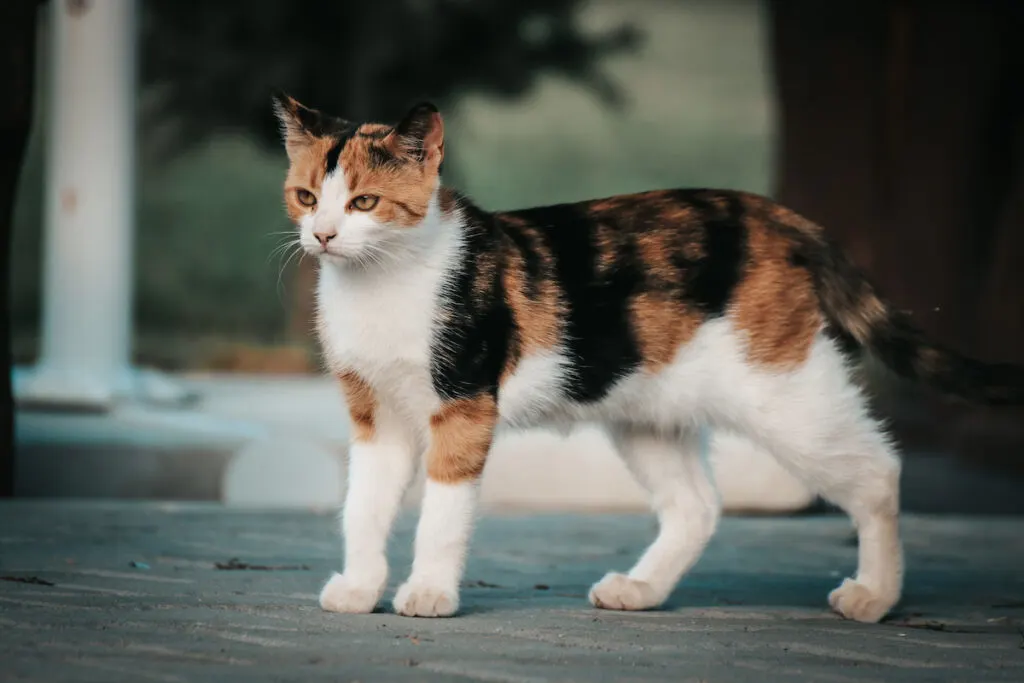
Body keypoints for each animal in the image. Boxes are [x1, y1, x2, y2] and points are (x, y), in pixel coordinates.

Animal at [272, 93, 1024, 622]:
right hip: (648, 412)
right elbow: (363, 506)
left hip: (785, 395)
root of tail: (780, 217)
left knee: (878, 472)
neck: (382, 282)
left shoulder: (462, 404)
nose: (324, 235)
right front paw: (360, 587)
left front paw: (428, 592)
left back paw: (874, 594)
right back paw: (640, 588)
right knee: (698, 505)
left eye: (364, 201)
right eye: (306, 196)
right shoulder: (377, 416)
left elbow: (441, 512)